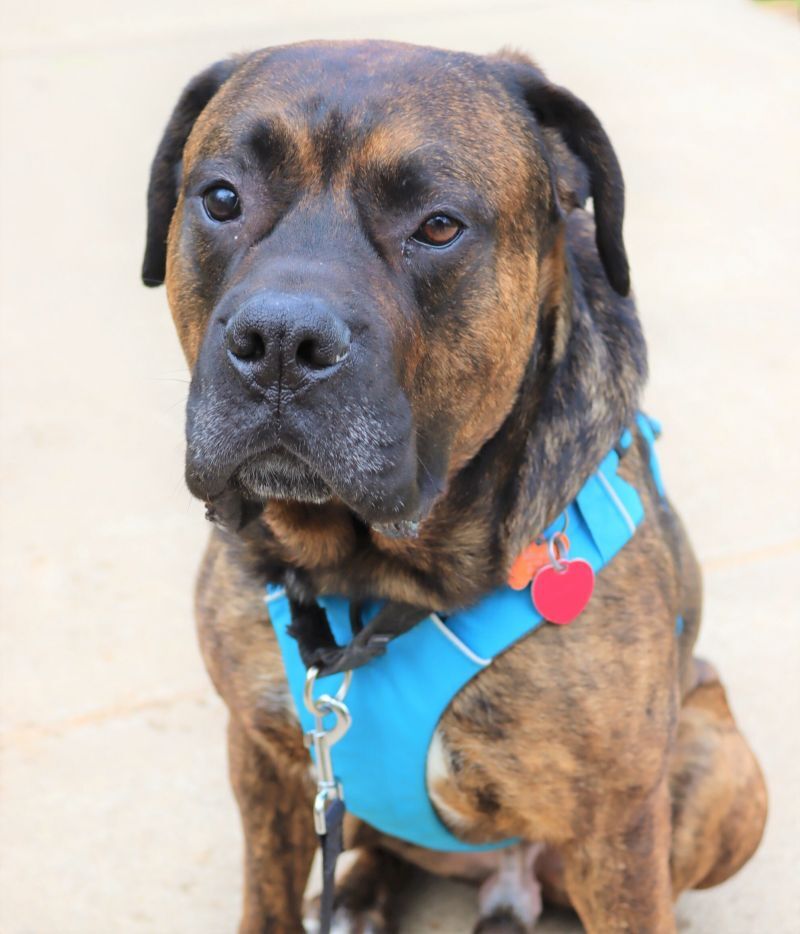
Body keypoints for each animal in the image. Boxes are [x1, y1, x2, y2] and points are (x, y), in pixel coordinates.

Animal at [144, 38, 768, 934]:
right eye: (221, 198)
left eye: (439, 226)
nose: (280, 341)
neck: (371, 578)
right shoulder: (262, 756)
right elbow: (265, 898)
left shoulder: (619, 826)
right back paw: (359, 894)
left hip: (722, 768)